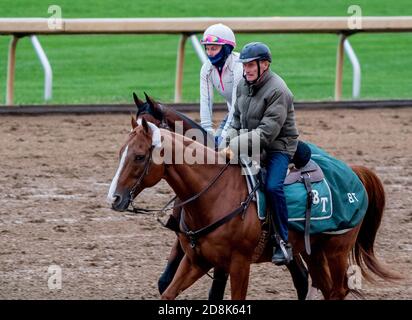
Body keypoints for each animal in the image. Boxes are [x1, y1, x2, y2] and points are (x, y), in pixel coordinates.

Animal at [108, 117, 398, 300]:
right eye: (121, 152)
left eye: (139, 156)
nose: (114, 198)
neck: (215, 193)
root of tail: (354, 171)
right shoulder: (197, 261)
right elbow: (168, 292)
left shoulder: (238, 264)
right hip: (313, 252)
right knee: (326, 290)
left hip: (336, 250)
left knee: (337, 291)